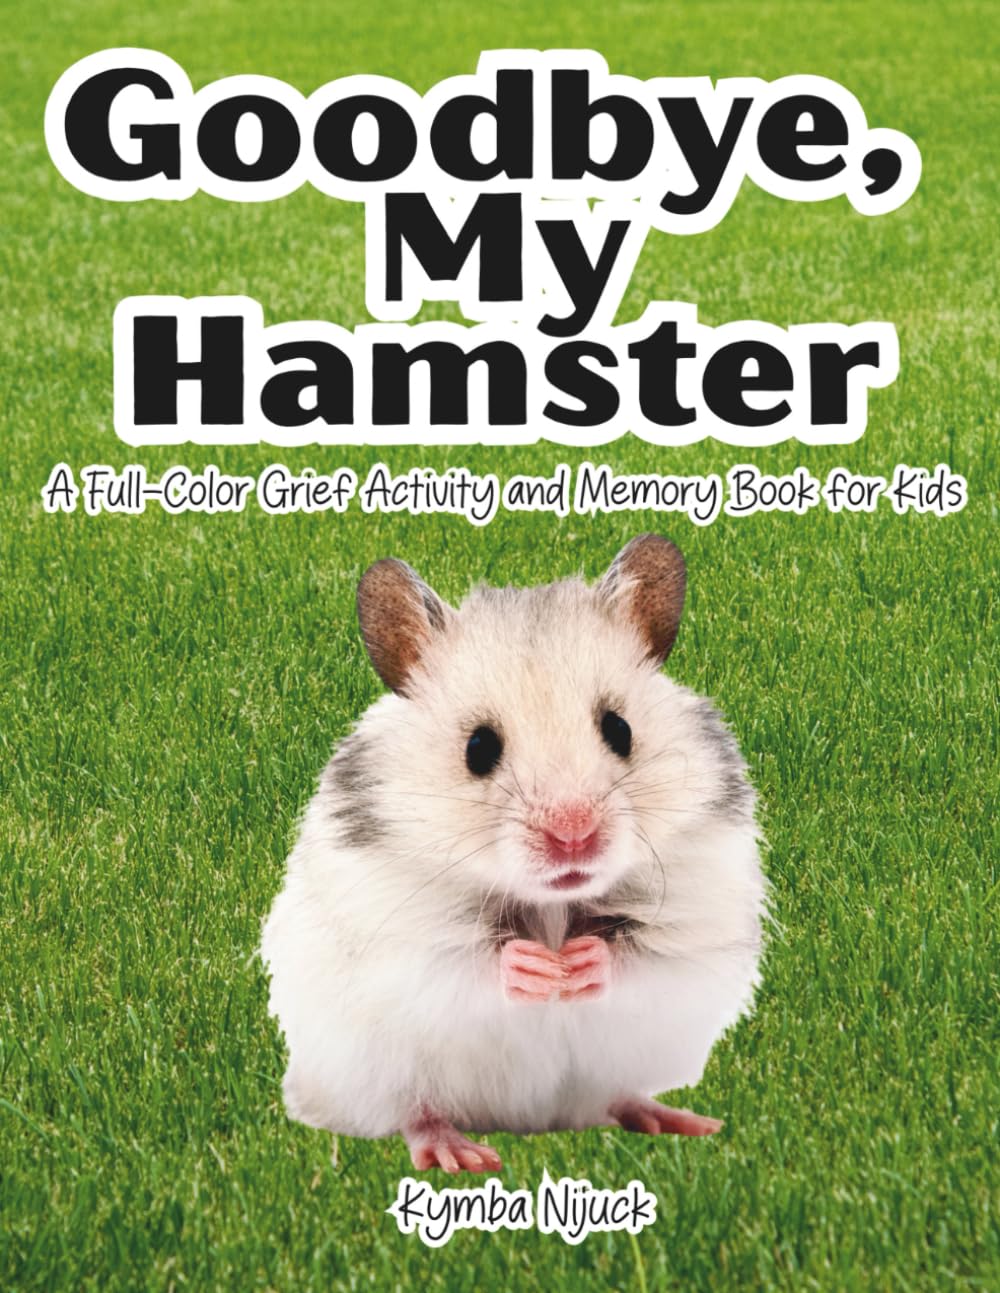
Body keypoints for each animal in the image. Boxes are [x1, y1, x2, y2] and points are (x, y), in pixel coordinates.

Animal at [261, 535, 766, 1173]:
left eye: (620, 729)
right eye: (478, 748)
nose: (573, 835)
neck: (551, 905)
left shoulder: (699, 923)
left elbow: (646, 960)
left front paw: (579, 964)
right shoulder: (395, 939)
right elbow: (461, 966)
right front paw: (537, 968)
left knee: (614, 1096)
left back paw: (680, 1121)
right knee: (413, 1111)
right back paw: (460, 1154)